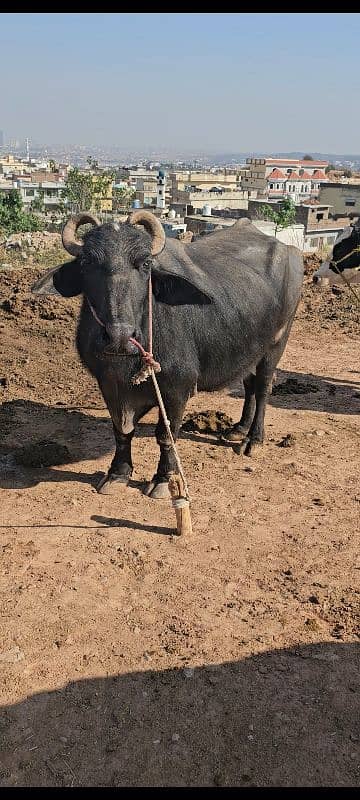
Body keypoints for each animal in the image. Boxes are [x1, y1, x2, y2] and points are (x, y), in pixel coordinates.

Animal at [31, 216, 304, 496]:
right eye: (87, 262)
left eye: (145, 264)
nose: (119, 335)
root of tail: (290, 251)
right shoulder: (108, 385)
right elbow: (121, 431)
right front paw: (117, 473)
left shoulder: (176, 389)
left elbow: (166, 434)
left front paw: (164, 478)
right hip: (249, 350)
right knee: (248, 385)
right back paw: (238, 430)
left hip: (276, 344)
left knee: (263, 388)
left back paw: (253, 439)